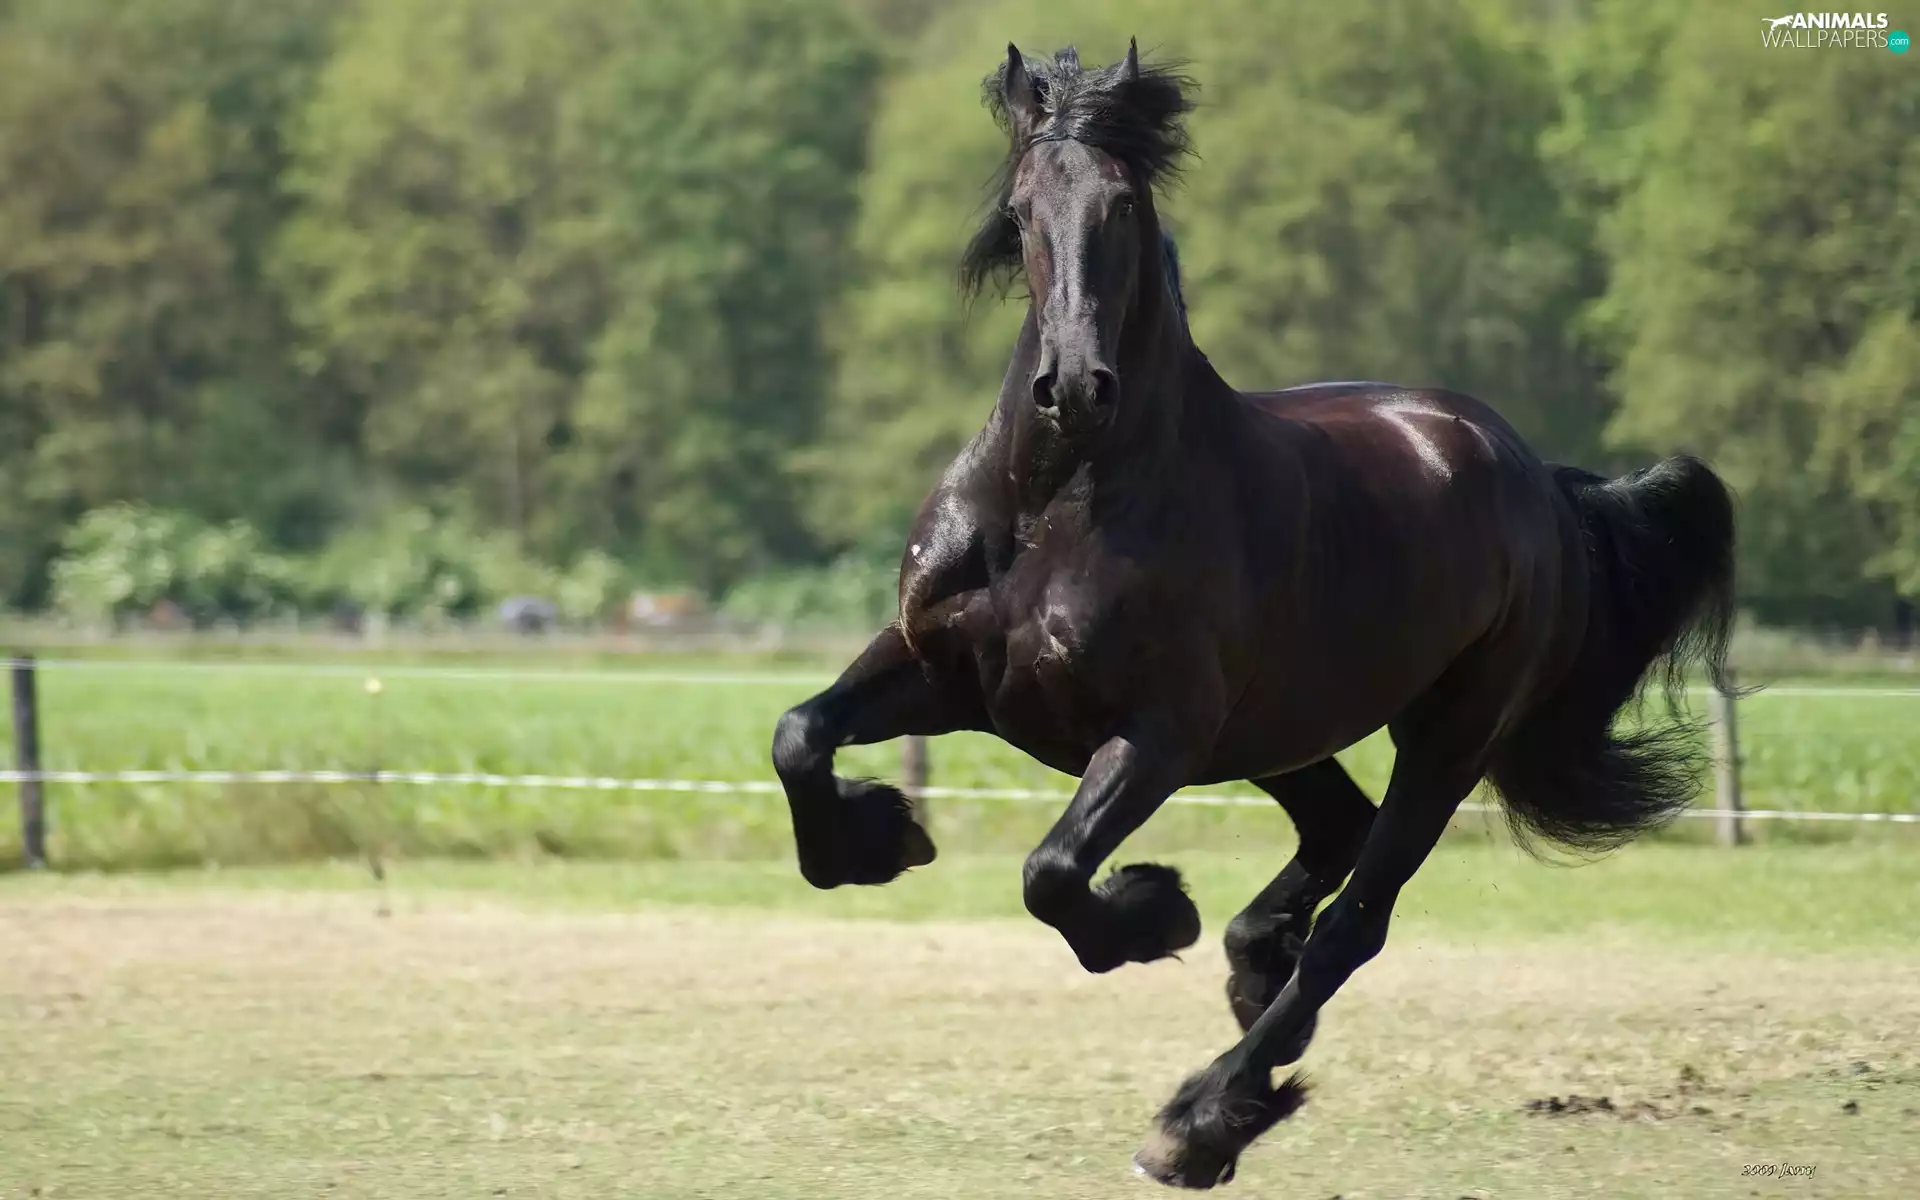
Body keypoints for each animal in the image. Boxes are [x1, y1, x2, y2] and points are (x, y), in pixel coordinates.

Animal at [771, 41, 1737, 1189]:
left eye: (1126, 205)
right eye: (1021, 211)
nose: (1074, 388)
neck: (1060, 501)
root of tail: (1537, 478)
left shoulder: (1154, 736)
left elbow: (1052, 874)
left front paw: (1150, 912)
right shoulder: (945, 672)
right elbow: (799, 736)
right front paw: (880, 837)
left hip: (1445, 736)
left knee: (1355, 922)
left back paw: (1205, 1115)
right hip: (1279, 731)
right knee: (1336, 833)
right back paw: (1250, 972)